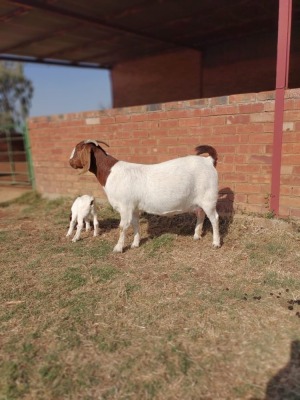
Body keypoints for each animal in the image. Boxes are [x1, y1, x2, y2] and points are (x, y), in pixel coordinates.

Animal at [69, 140, 220, 253]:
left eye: (78, 148)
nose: (70, 162)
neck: (110, 173)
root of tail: (208, 161)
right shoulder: (134, 208)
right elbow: (135, 224)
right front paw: (135, 244)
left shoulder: (125, 206)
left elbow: (123, 226)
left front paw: (118, 248)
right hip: (198, 201)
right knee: (201, 214)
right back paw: (197, 235)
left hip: (209, 198)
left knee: (214, 218)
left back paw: (216, 243)